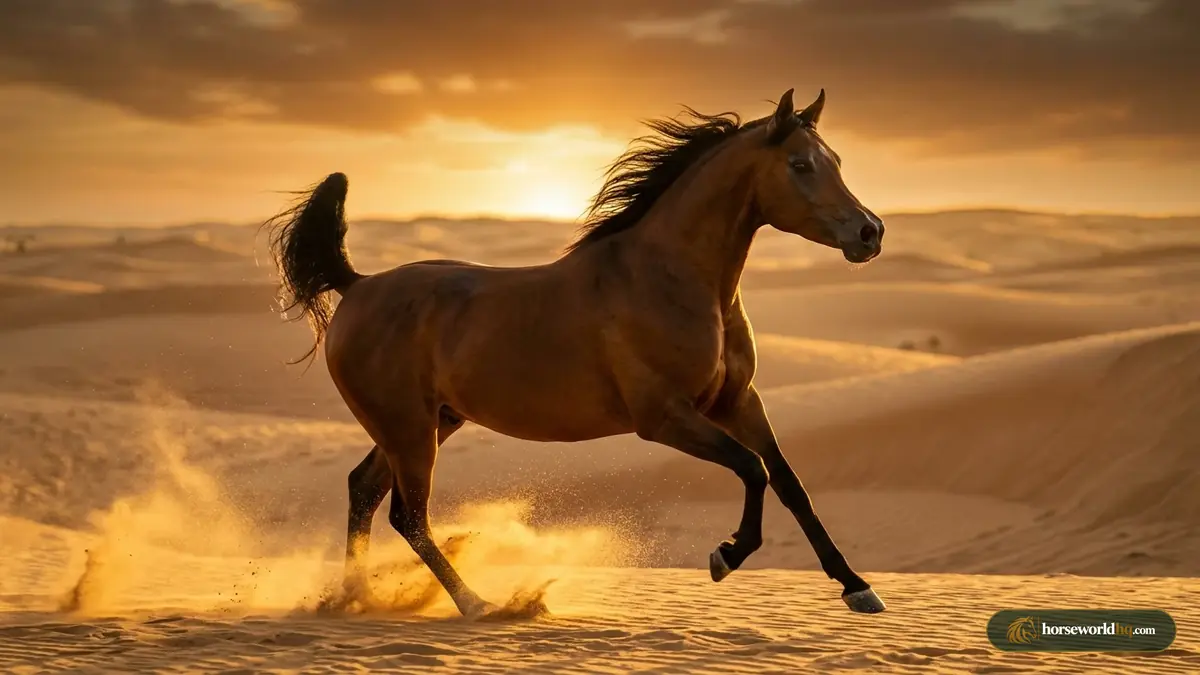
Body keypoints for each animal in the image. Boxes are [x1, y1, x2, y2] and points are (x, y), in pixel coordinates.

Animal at [265, 88, 887, 617]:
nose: (870, 233)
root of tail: (357, 286)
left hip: (429, 423)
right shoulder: (665, 418)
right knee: (407, 515)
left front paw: (857, 588)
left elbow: (790, 484)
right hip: (410, 431)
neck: (673, 280)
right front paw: (725, 556)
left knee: (364, 491)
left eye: (835, 160)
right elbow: (752, 470)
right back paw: (476, 604)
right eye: (800, 165)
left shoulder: (738, 403)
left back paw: (357, 599)